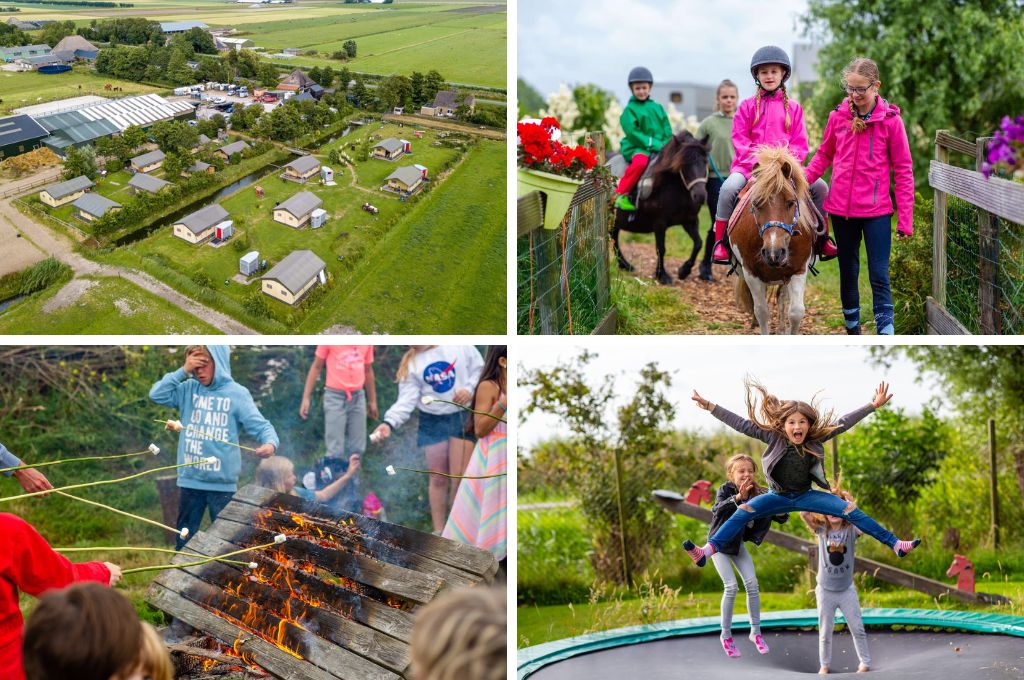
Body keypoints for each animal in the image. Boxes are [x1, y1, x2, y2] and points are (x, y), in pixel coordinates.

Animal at [610, 129, 708, 284]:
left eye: (705, 162)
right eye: (684, 164)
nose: (700, 196)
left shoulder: (690, 221)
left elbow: (698, 243)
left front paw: (684, 271)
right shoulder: (659, 223)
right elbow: (661, 248)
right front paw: (662, 275)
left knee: (614, 238)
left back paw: (625, 265)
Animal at [729, 146, 815, 333]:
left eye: (791, 202)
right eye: (756, 203)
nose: (774, 253)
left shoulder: (799, 270)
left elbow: (796, 312)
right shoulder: (750, 272)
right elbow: (761, 311)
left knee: (781, 297)